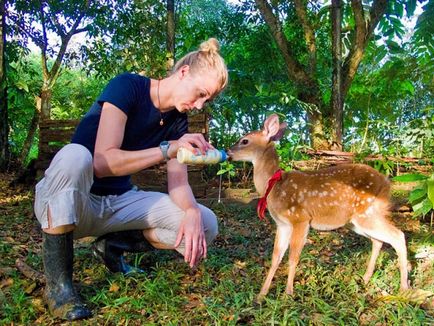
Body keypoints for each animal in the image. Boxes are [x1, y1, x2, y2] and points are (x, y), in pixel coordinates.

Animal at [229, 114, 408, 300]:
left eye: (244, 140)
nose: (228, 152)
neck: (274, 186)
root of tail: (387, 183)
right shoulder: (283, 224)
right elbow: (276, 257)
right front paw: (261, 294)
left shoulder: (300, 218)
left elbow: (293, 257)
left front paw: (288, 293)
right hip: (357, 221)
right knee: (378, 241)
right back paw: (366, 278)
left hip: (367, 212)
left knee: (397, 235)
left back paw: (403, 288)